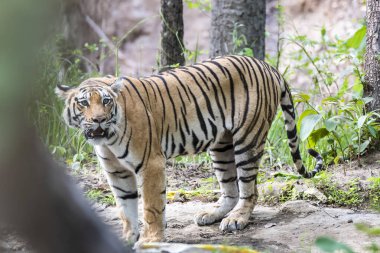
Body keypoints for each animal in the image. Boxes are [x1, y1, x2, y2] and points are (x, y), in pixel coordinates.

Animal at [56, 55, 324, 245]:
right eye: (83, 103)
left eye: (106, 101)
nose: (99, 120)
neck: (108, 139)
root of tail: (268, 66)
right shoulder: (117, 172)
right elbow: (125, 207)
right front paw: (126, 238)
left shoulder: (151, 163)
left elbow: (151, 207)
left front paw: (151, 240)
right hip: (221, 145)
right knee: (231, 189)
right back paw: (212, 214)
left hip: (248, 138)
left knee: (249, 189)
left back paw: (236, 219)